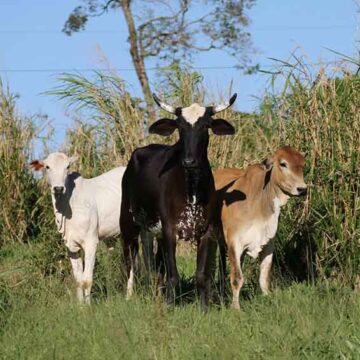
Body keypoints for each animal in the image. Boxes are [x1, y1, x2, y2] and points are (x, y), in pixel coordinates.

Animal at [31, 152, 126, 304]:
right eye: (47, 167)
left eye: (67, 166)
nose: (58, 188)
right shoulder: (70, 246)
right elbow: (78, 280)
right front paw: (81, 306)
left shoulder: (91, 242)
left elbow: (87, 280)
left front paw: (88, 306)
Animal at [121, 93, 238, 310]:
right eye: (180, 127)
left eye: (205, 125)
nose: (189, 161)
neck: (191, 187)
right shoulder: (170, 230)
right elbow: (173, 275)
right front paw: (169, 306)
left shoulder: (206, 231)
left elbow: (201, 275)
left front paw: (204, 309)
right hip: (129, 224)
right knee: (131, 262)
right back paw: (130, 297)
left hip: (154, 232)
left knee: (156, 266)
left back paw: (157, 295)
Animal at [214, 146, 306, 310]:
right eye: (283, 164)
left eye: (303, 165)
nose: (302, 189)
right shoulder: (234, 243)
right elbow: (237, 278)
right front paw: (236, 308)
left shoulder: (268, 244)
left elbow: (264, 277)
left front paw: (269, 299)